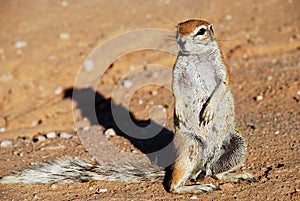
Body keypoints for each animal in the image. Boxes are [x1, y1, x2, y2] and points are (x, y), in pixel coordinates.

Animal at [0, 19, 254, 194]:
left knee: (214, 172)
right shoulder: (176, 72)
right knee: (174, 185)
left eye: (201, 31)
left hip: (237, 144)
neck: (196, 56)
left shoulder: (222, 68)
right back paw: (195, 187)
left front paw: (209, 109)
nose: (181, 39)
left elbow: (222, 85)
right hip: (192, 146)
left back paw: (233, 176)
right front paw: (180, 113)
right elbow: (176, 91)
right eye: (179, 28)